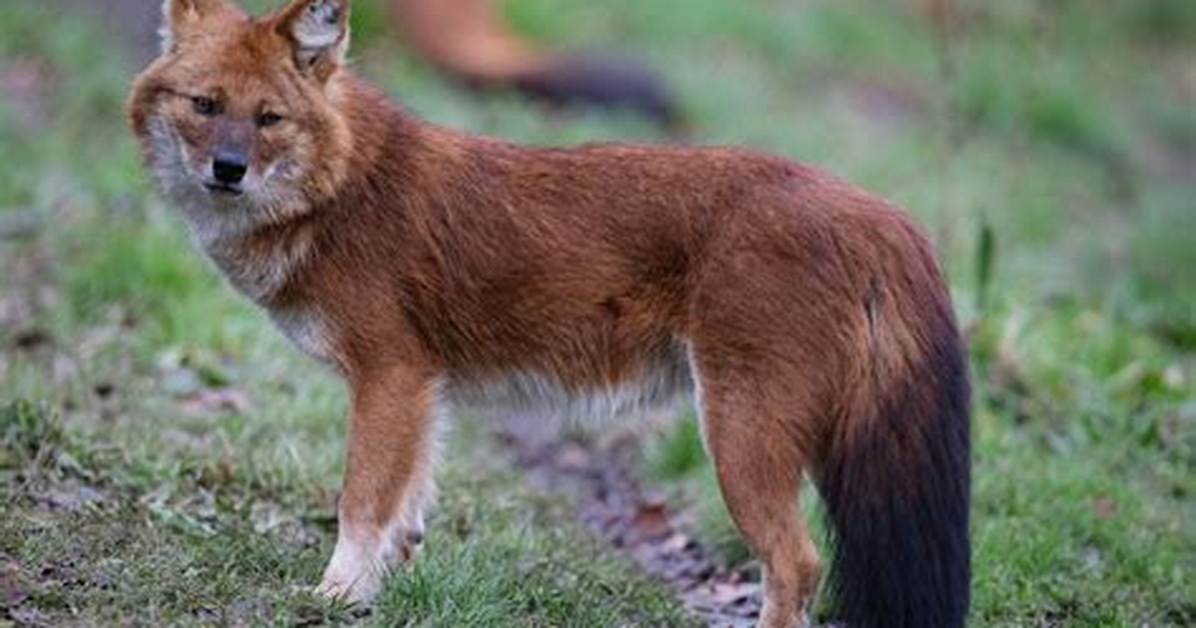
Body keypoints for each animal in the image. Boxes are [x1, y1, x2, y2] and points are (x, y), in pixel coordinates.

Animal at [127, 1, 971, 626]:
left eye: (269, 118)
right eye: (206, 105)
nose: (228, 170)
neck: (341, 190)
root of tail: (880, 212)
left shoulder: (389, 373)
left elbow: (361, 502)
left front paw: (334, 597)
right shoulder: (423, 387)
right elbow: (408, 508)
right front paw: (386, 588)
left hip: (740, 433)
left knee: (797, 565)